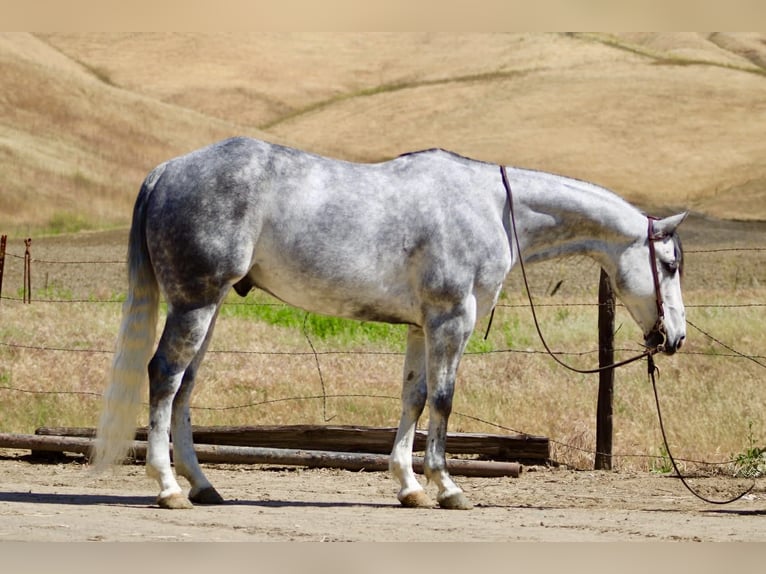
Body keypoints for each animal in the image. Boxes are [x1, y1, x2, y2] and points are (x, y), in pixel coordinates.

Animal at [92, 136, 687, 510]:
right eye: (670, 264)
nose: (674, 337)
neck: (493, 208)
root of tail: (166, 171)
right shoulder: (452, 318)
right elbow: (443, 401)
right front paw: (447, 488)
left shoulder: (421, 326)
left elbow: (413, 398)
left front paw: (409, 487)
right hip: (194, 304)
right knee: (164, 377)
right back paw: (168, 488)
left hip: (207, 307)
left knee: (186, 387)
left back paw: (202, 485)